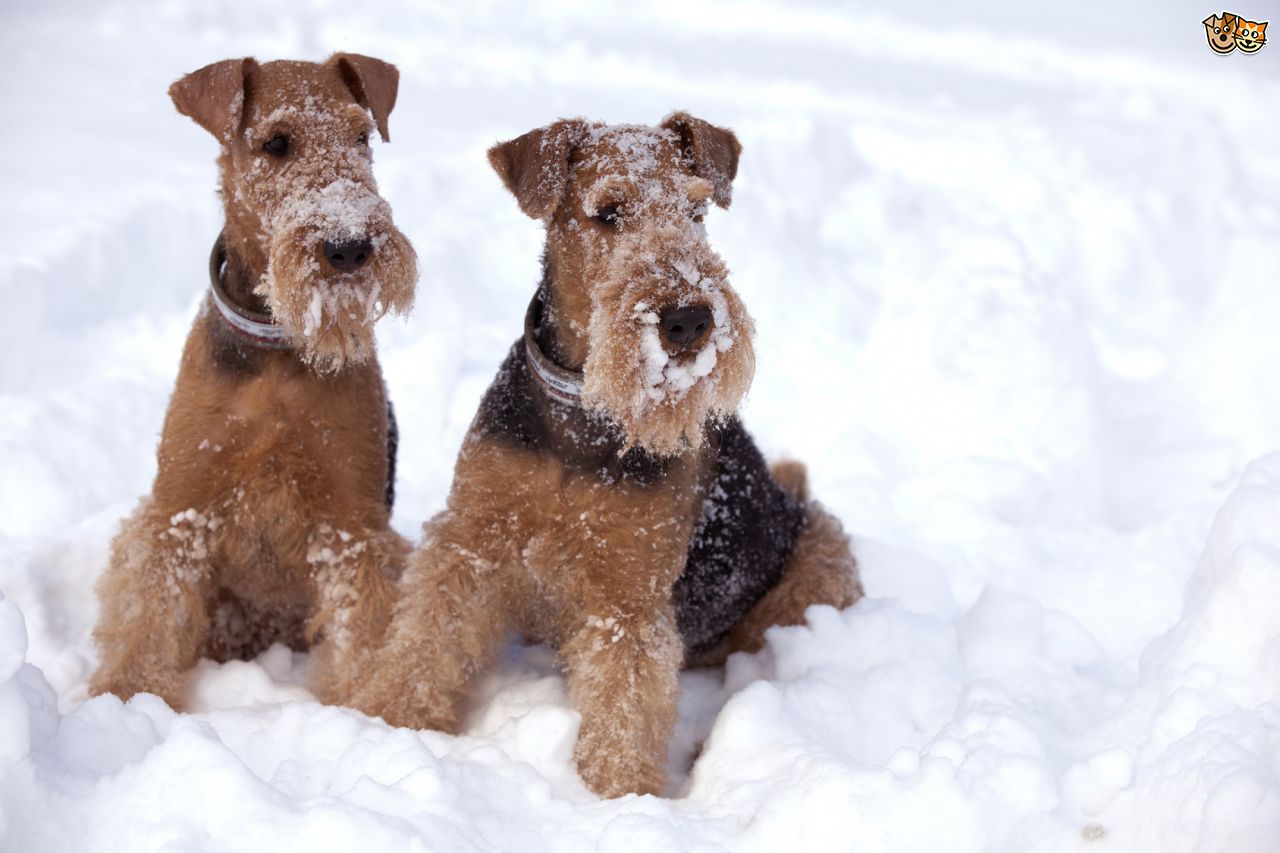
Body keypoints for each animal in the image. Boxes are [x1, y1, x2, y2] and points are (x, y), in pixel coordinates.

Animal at [91, 49, 419, 706]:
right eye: (276, 143)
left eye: (362, 136)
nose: (349, 247)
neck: (277, 345)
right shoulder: (179, 509)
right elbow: (149, 615)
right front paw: (126, 696)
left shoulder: (353, 524)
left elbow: (362, 629)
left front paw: (360, 704)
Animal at [353, 114, 860, 799]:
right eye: (608, 212)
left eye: (697, 210)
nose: (688, 320)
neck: (584, 415)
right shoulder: (472, 539)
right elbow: (429, 638)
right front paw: (388, 719)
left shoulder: (629, 595)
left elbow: (627, 704)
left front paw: (621, 797)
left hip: (817, 564)